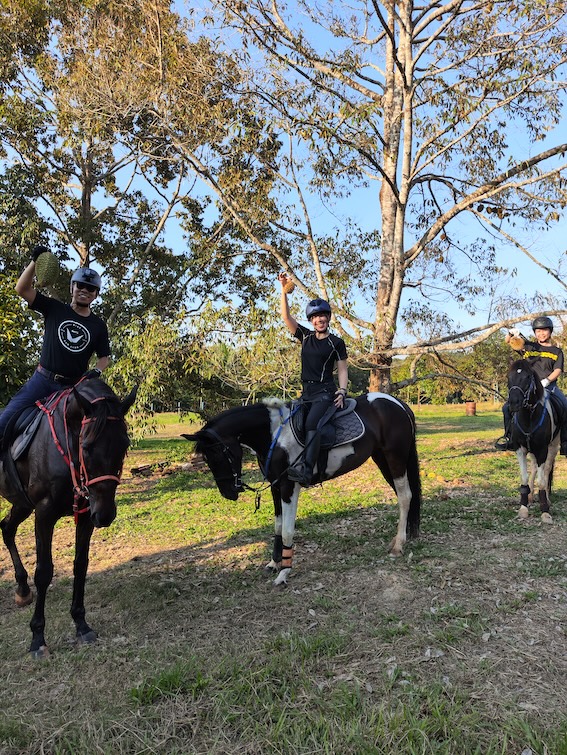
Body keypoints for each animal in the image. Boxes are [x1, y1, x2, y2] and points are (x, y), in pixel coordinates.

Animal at [0, 380, 136, 660]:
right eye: (87, 446)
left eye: (125, 444)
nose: (105, 515)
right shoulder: (44, 513)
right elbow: (44, 572)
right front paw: (37, 638)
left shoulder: (85, 514)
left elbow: (80, 565)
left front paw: (81, 624)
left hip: (21, 504)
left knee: (6, 528)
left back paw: (22, 589)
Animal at [183, 392, 422, 588]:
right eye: (207, 458)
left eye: (217, 454)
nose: (228, 493)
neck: (275, 435)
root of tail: (399, 404)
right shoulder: (275, 486)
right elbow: (278, 526)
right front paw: (274, 562)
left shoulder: (289, 486)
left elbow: (288, 530)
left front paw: (284, 572)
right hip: (382, 458)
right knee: (404, 496)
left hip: (395, 457)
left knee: (405, 496)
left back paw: (398, 545)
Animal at [510, 362, 560, 524]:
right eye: (509, 376)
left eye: (527, 377)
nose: (513, 403)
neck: (529, 416)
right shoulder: (520, 449)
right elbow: (525, 478)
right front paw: (523, 507)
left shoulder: (543, 450)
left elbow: (542, 481)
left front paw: (545, 511)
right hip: (532, 451)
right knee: (533, 468)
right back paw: (531, 496)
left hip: (552, 447)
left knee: (546, 471)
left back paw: (546, 500)